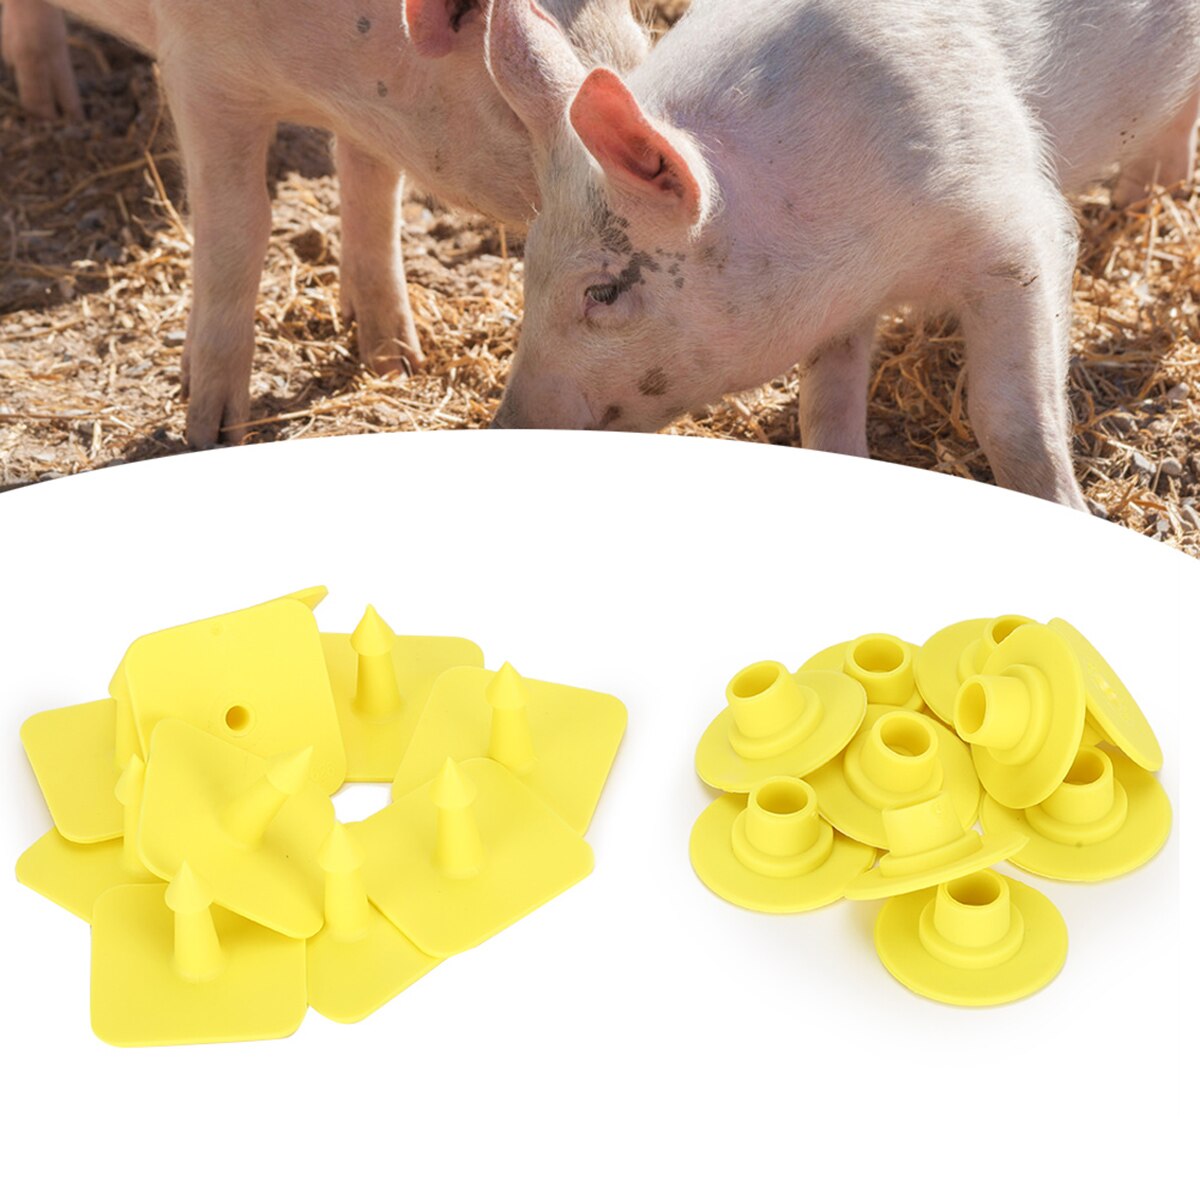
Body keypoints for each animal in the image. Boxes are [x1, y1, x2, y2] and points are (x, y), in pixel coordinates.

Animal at [0, 0, 648, 448]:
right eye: (519, 109)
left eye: (642, 53)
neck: (322, 88)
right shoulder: (199, 76)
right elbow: (239, 226)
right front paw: (212, 432)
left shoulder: (378, 117)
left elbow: (373, 198)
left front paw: (397, 363)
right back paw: (55, 112)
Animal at [486, 0, 1200, 509]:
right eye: (527, 272)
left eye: (602, 291)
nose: (504, 428)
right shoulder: (837, 306)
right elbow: (824, 411)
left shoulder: (1018, 232)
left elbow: (1011, 418)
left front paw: (1067, 510)